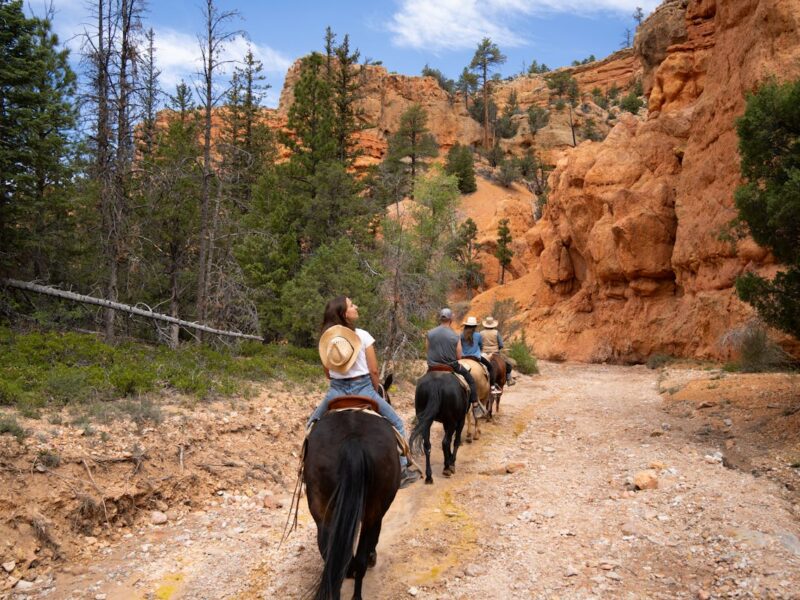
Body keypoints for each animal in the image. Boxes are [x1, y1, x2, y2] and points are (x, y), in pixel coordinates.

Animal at [302, 378, 400, 596]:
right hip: (374, 510)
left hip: (322, 510)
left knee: (328, 553)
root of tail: (352, 440)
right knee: (361, 557)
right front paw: (371, 558)